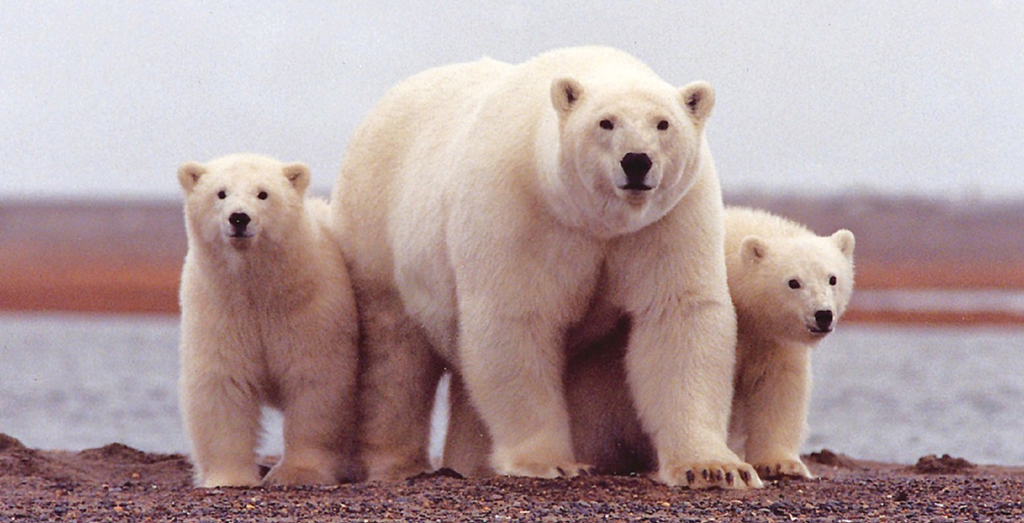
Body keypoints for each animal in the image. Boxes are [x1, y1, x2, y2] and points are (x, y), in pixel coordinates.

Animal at [335, 47, 761, 489]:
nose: (636, 161)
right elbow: (517, 320)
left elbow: (678, 315)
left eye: (663, 123)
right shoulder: (521, 210)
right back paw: (397, 464)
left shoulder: (667, 219)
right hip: (378, 228)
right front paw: (550, 462)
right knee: (394, 356)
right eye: (605, 122)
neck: (594, 220)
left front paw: (715, 467)